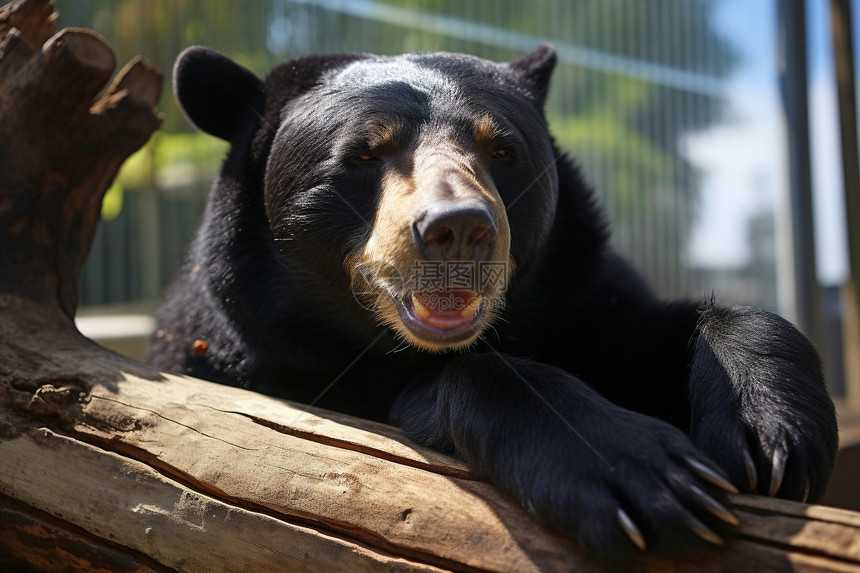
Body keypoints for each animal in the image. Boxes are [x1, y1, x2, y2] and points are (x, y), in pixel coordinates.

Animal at [149, 45, 840, 560]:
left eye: (501, 150)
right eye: (363, 155)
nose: (458, 228)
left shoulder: (582, 300)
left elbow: (657, 333)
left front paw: (774, 441)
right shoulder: (273, 363)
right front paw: (650, 480)